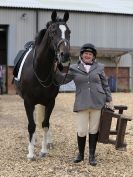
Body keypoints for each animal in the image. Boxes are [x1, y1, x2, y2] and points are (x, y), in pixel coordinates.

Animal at [13, 10, 71, 160]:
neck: (40, 69)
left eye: (69, 32)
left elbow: (45, 124)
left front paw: (44, 150)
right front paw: (31, 153)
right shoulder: (28, 102)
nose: (65, 55)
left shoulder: (50, 102)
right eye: (53, 31)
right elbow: (31, 125)